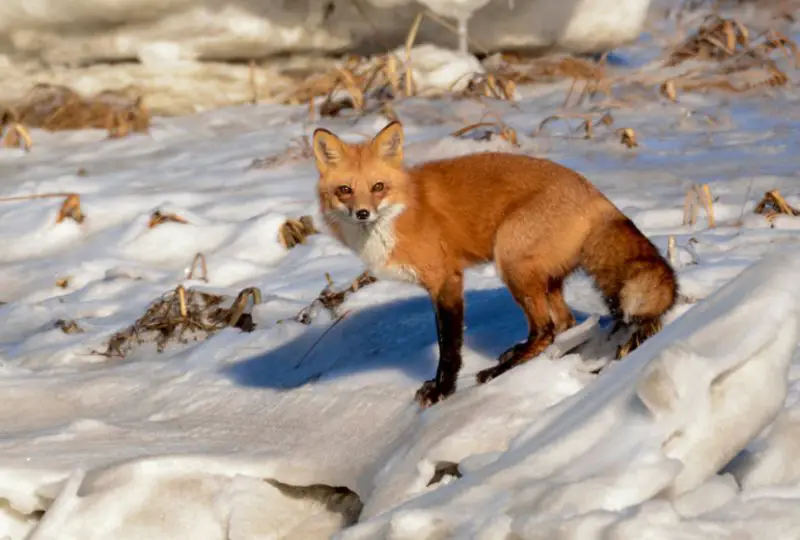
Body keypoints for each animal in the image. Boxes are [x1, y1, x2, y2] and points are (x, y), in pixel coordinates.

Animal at [312, 121, 678, 408]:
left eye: (378, 187)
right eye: (344, 190)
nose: (362, 213)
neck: (401, 212)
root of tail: (594, 193)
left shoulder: (446, 280)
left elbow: (449, 346)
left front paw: (443, 391)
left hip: (510, 260)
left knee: (545, 328)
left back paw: (498, 371)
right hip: (543, 278)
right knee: (564, 323)